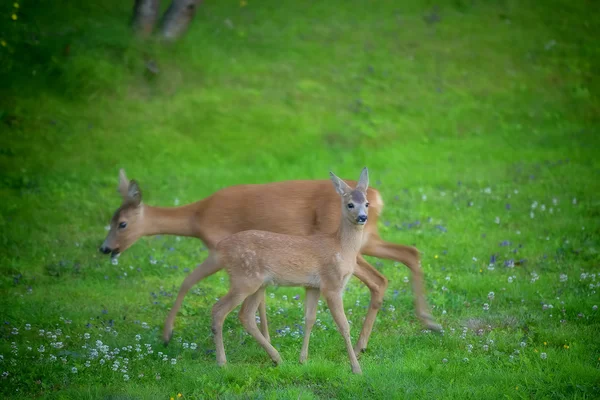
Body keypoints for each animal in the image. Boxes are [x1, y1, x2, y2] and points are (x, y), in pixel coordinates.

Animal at [99, 169, 440, 354]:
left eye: (122, 224)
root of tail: (377, 197)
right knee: (410, 254)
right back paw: (426, 321)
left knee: (381, 278)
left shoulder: (219, 247)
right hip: (370, 239)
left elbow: (187, 280)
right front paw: (268, 338)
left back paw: (363, 344)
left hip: (353, 243)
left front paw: (167, 335)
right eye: (111, 219)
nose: (105, 248)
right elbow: (259, 299)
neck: (198, 217)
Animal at [211, 167, 370, 374]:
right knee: (218, 310)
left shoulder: (313, 286)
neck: (342, 248)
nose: (362, 217)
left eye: (367, 203)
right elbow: (344, 325)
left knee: (244, 315)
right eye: (350, 204)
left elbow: (309, 319)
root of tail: (221, 247)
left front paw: (303, 360)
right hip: (243, 279)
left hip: (256, 284)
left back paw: (276, 358)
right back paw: (222, 362)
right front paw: (356, 368)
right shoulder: (332, 284)